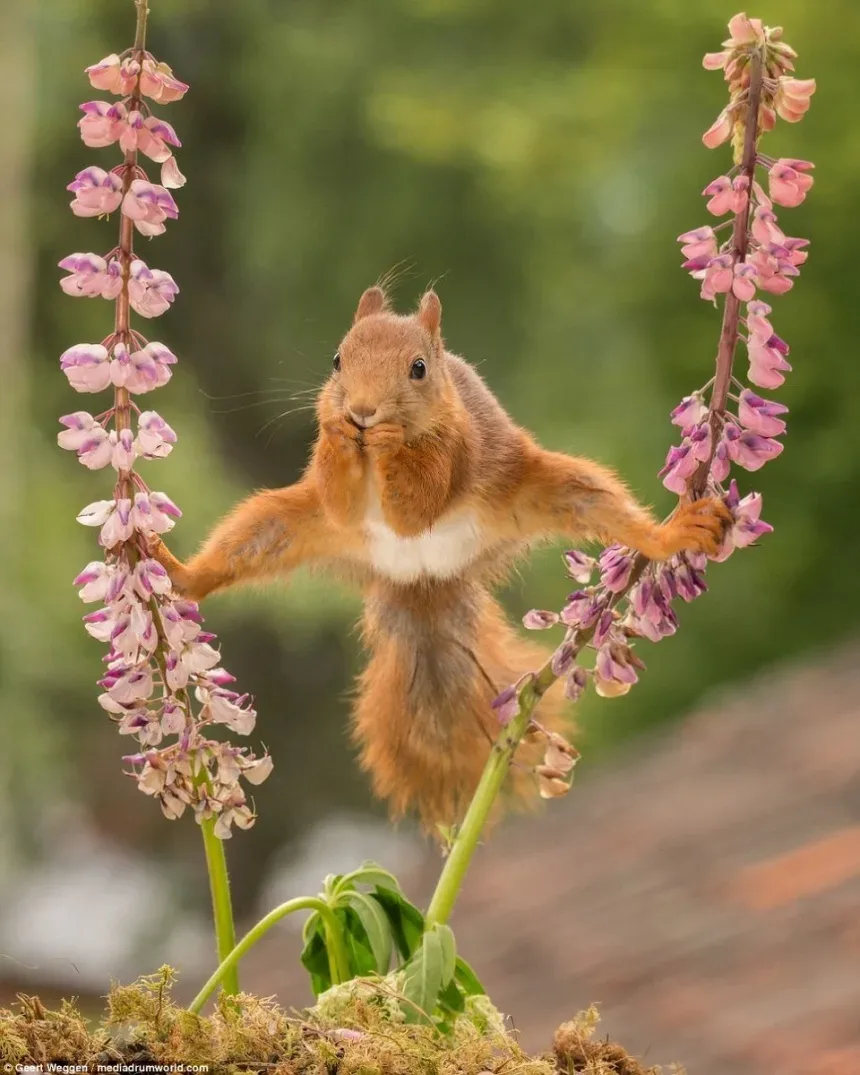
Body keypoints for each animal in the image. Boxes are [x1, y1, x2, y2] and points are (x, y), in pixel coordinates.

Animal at [147, 286, 730, 832]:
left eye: (419, 369)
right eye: (337, 360)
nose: (362, 412)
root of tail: (422, 577)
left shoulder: (457, 448)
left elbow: (418, 505)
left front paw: (386, 441)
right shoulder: (335, 501)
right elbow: (339, 498)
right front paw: (339, 433)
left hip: (546, 488)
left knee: (598, 502)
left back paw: (671, 534)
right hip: (283, 524)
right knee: (247, 543)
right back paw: (180, 574)